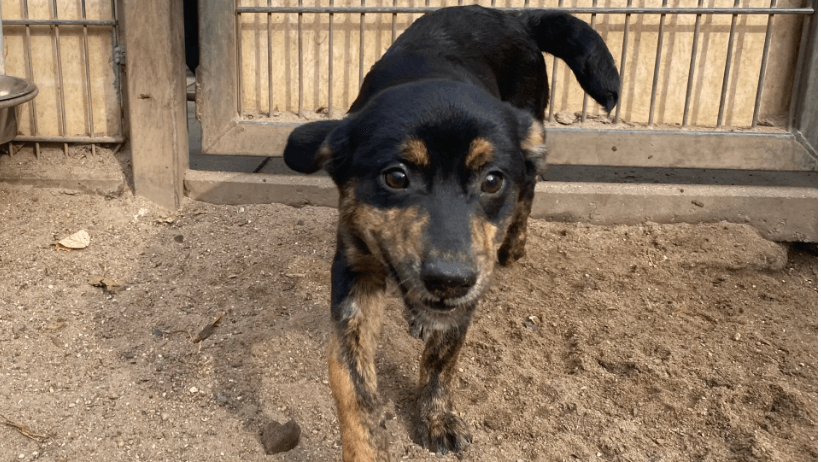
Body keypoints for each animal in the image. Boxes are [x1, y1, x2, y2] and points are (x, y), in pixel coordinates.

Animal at [282, 4, 616, 462]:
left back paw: (515, 244)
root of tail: (513, 16)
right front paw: (366, 445)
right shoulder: (355, 271)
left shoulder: (474, 268)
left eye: (492, 181)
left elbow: (443, 356)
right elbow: (352, 383)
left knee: (530, 185)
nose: (450, 281)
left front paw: (436, 416)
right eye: (396, 177)